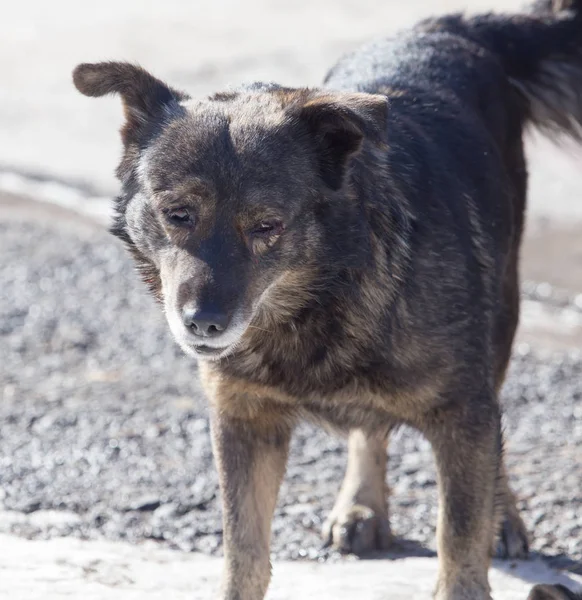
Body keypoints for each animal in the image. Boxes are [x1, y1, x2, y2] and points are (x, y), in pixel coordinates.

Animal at [73, 0, 582, 596]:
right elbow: (244, 554)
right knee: (370, 430)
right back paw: (362, 505)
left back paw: (503, 517)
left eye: (267, 226)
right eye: (178, 214)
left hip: (502, 314)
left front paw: (482, 532)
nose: (203, 324)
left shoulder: (462, 414)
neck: (319, 296)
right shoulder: (245, 420)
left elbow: (460, 546)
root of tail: (448, 26)